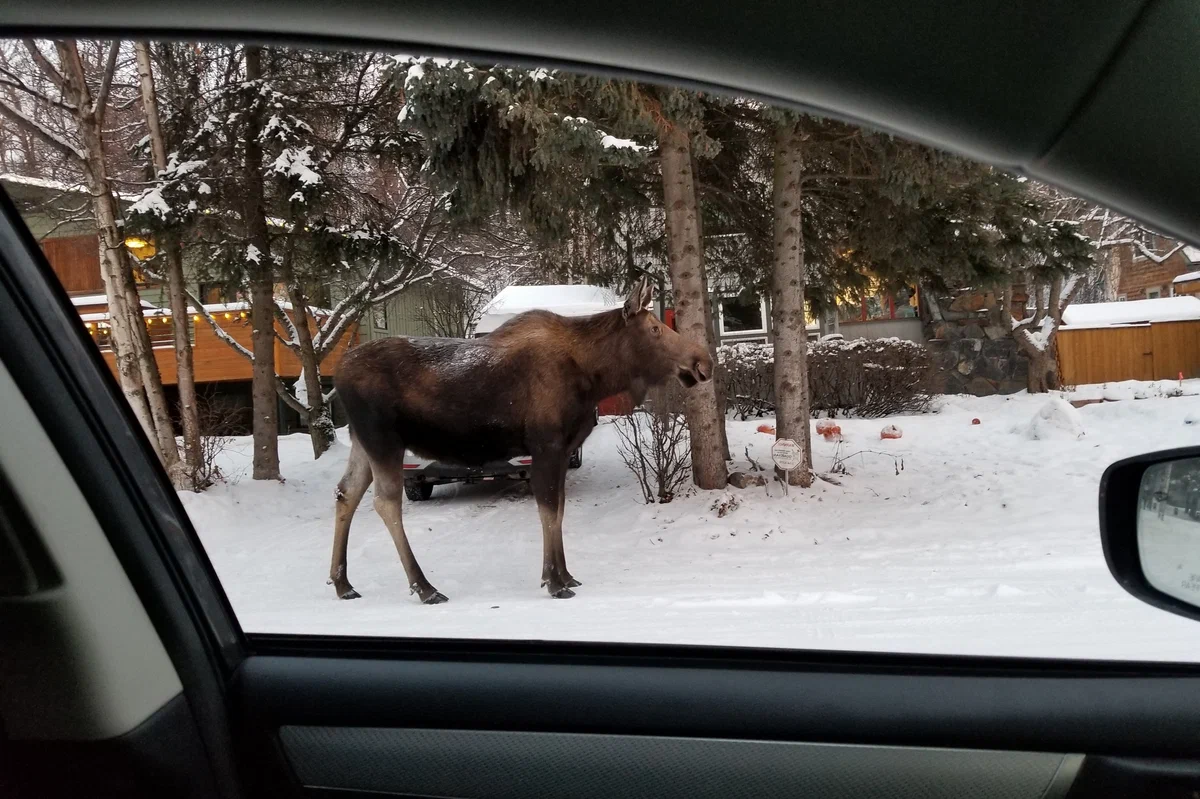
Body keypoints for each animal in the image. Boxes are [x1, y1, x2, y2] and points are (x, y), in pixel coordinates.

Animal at [328, 277, 710, 599]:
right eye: (656, 328)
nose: (702, 361)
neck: (594, 376)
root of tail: (338, 374)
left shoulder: (562, 451)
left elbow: (559, 510)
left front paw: (566, 575)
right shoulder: (546, 445)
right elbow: (549, 511)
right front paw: (554, 581)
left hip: (363, 442)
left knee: (346, 492)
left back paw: (343, 583)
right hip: (384, 439)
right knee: (385, 502)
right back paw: (424, 587)